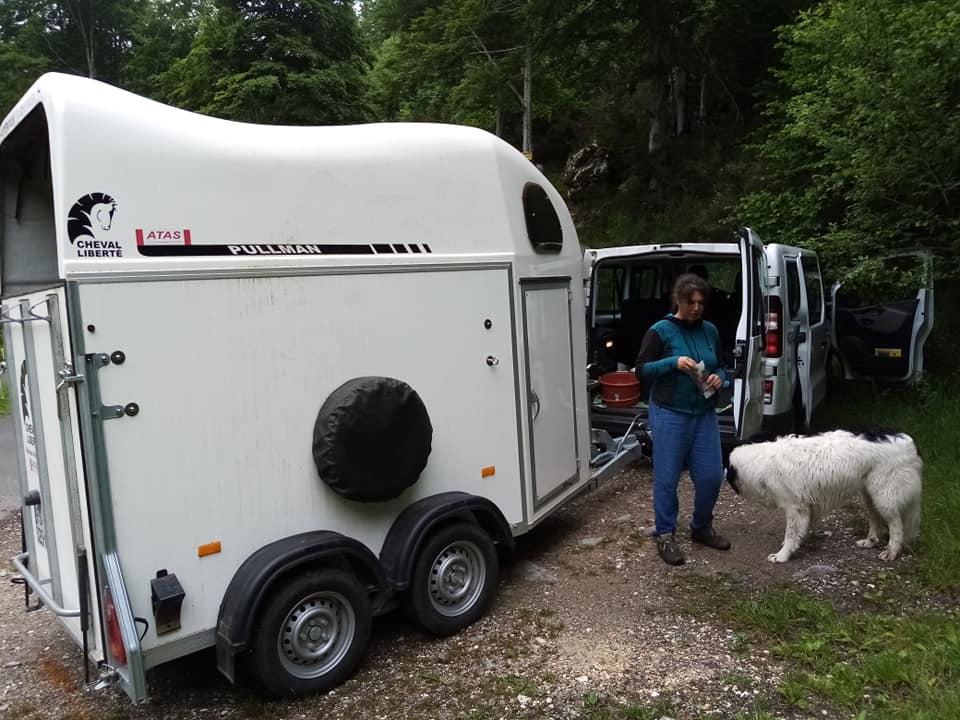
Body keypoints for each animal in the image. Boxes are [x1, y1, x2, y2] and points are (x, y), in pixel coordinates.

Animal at [728, 428, 924, 564]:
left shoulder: (795, 507)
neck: (761, 461)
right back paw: (870, 541)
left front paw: (782, 555)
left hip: (884, 496)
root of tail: (908, 441)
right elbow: (799, 531)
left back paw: (891, 551)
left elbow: (790, 534)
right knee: (875, 517)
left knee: (896, 525)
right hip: (870, 493)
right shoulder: (804, 507)